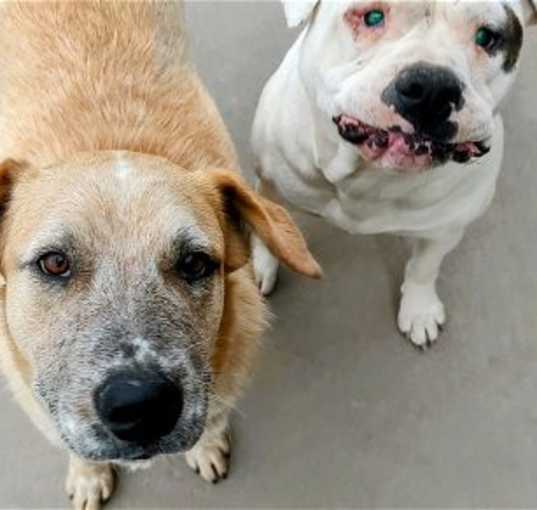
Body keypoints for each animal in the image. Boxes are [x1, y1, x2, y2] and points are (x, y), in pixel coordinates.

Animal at [0, 1, 318, 508]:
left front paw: (207, 446)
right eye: (54, 262)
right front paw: (88, 474)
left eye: (195, 263)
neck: (110, 138)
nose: (141, 406)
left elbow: (213, 418)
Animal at [252, 0, 536, 346]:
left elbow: (424, 267)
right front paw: (261, 265)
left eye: (486, 37)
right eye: (372, 16)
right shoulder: (271, 186)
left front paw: (419, 309)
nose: (431, 88)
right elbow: (264, 223)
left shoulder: (445, 229)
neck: (368, 176)